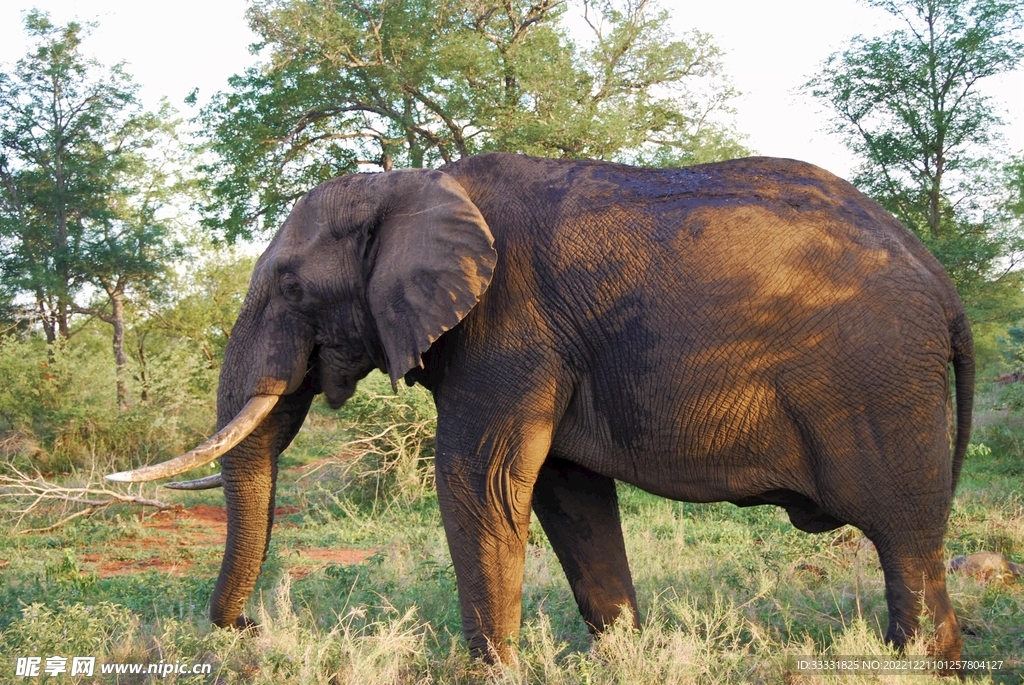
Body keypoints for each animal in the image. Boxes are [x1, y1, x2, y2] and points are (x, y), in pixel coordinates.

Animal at [108, 153, 974, 664]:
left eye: (290, 285)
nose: (250, 629)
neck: (413, 183)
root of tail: (941, 279)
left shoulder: (510, 327)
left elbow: (479, 480)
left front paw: (492, 671)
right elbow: (567, 492)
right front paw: (621, 661)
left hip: (882, 385)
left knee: (904, 536)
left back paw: (912, 664)